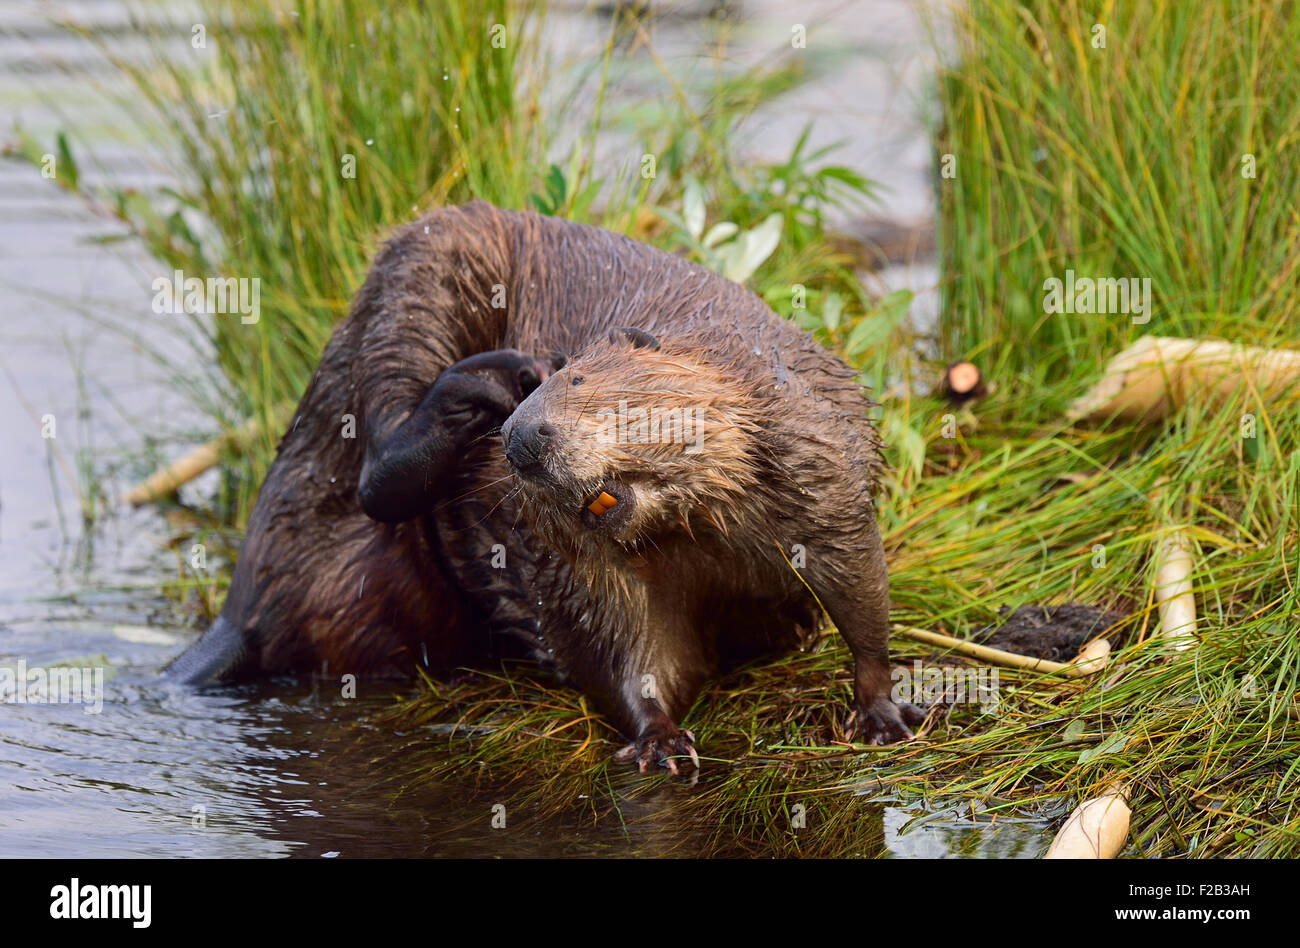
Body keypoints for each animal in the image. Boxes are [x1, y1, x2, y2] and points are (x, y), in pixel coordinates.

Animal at [170, 200, 925, 769]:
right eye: (562, 374)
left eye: (582, 379)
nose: (521, 436)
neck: (692, 524)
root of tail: (243, 606)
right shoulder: (563, 553)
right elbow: (614, 638)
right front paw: (660, 742)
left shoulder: (814, 451)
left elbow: (856, 575)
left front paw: (883, 712)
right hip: (421, 276)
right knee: (378, 463)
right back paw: (485, 379)